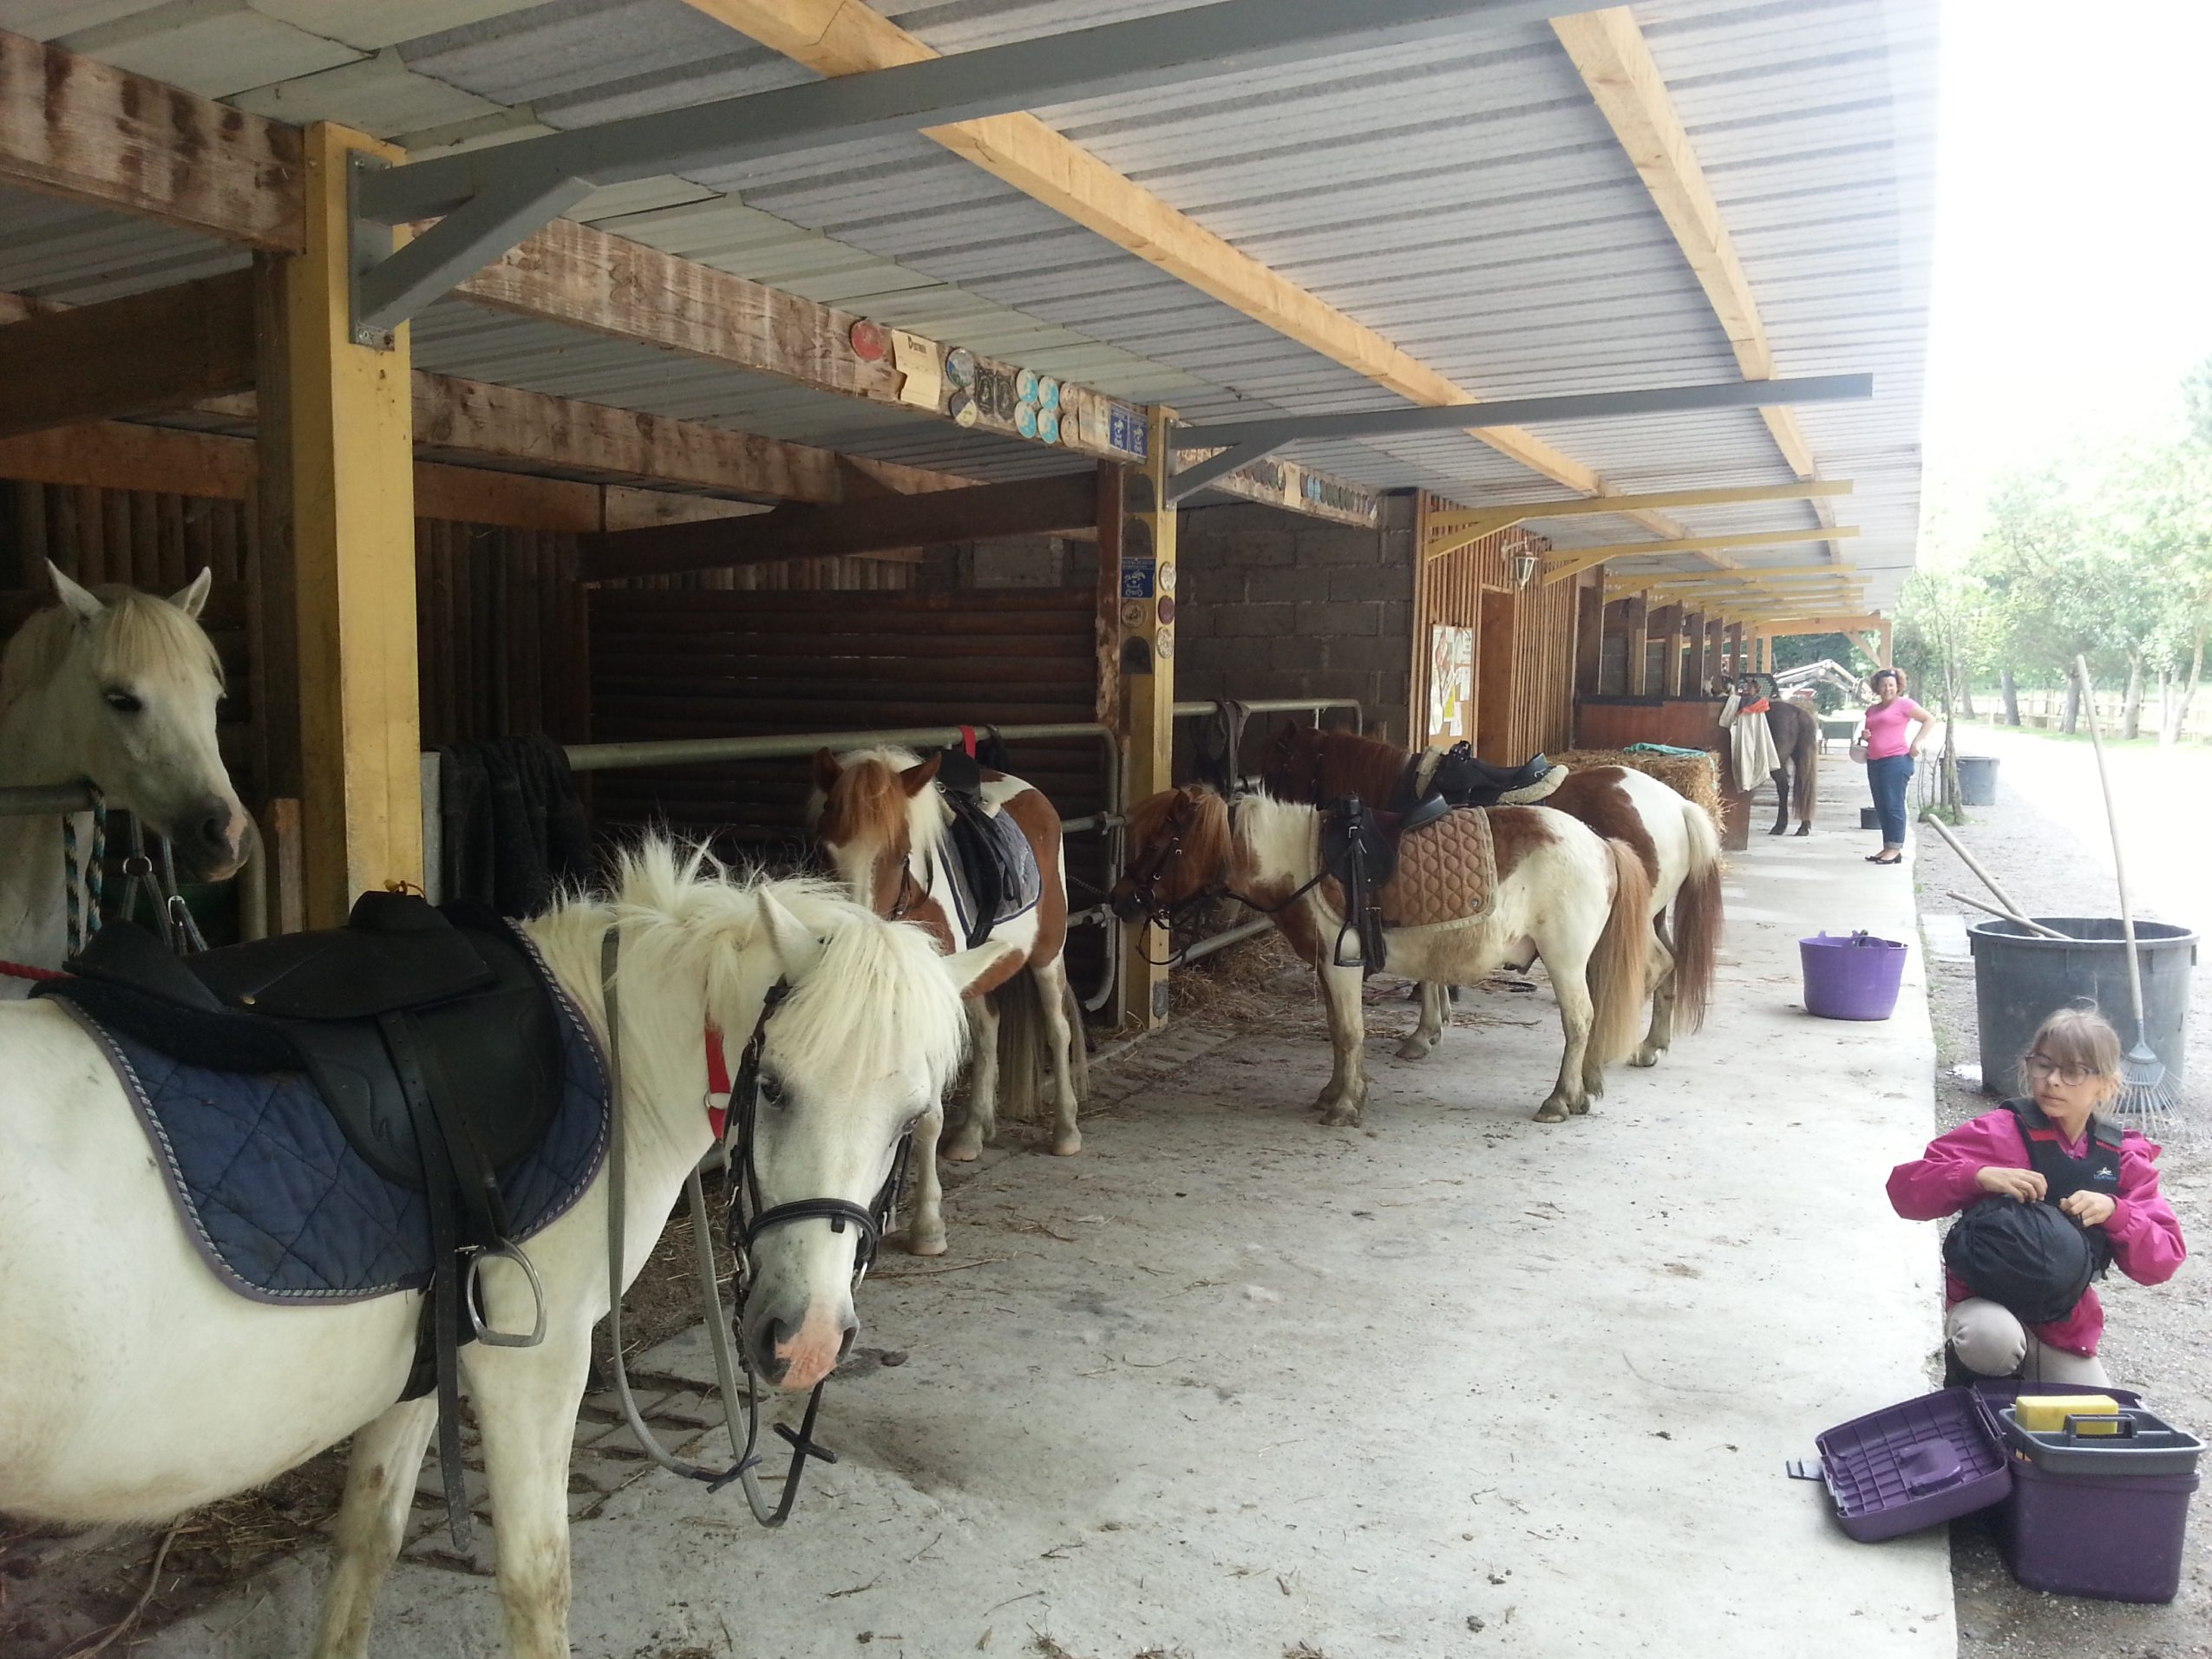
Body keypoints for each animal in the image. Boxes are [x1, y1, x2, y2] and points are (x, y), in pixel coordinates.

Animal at [0, 845, 1004, 1659]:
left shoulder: (422, 1358)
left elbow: (365, 1541)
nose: (807, 1341)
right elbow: (536, 1580)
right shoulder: (533, 1367)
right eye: (774, 1085)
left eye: (912, 1115)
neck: (608, 1053)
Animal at [814, 748, 1088, 1256]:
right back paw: (973, 1132)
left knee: (1057, 1029)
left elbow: (925, 1119)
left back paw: (1065, 1130)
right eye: (826, 851)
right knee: (988, 1030)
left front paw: (926, 1226)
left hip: (1047, 955)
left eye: (901, 856)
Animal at [1115, 792, 1654, 1132]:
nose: (1120, 901)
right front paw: (1336, 1093)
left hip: (1564, 962)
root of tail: (1601, 844)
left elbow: (1350, 1033)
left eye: (1159, 845)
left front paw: (1345, 1107)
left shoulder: (1343, 966)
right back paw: (1580, 1095)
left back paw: (1559, 1100)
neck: (1306, 862)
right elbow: (1338, 1031)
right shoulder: (1326, 969)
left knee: (1579, 1022)